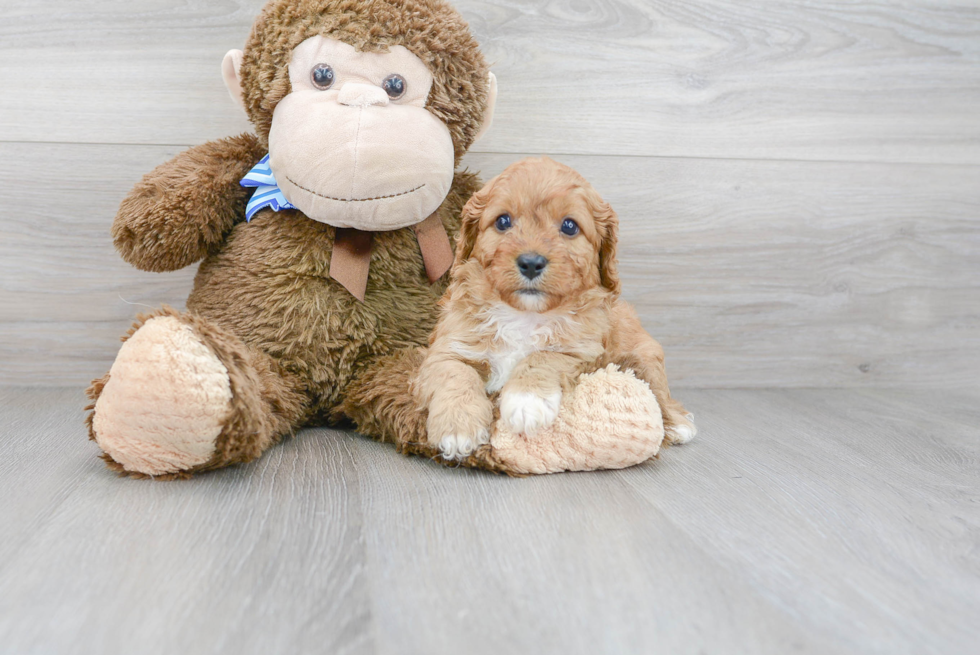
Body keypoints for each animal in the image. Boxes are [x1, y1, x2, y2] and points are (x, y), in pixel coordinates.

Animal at [414, 156, 696, 462]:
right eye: (503, 221)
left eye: (569, 226)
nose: (531, 262)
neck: (524, 315)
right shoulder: (448, 346)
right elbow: (456, 374)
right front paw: (457, 428)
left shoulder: (583, 351)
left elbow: (542, 356)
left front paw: (526, 404)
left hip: (645, 355)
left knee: (660, 391)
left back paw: (679, 424)